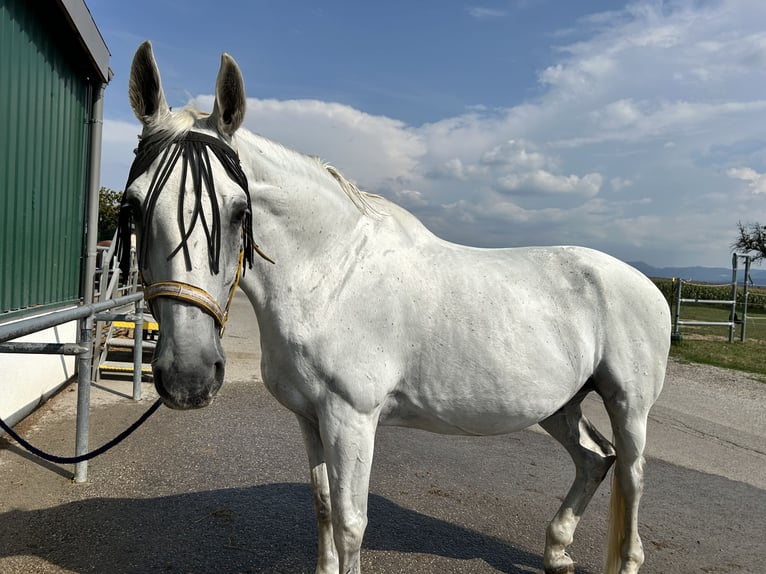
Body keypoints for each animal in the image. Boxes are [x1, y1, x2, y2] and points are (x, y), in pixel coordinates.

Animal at [121, 41, 672, 574]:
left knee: (632, 478)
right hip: (562, 404)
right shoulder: (310, 418)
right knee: (595, 459)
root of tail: (648, 286)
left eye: (240, 212)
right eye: (133, 207)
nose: (188, 378)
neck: (331, 273)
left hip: (628, 404)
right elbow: (323, 507)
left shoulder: (352, 418)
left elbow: (350, 524)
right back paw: (556, 552)